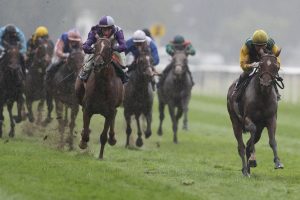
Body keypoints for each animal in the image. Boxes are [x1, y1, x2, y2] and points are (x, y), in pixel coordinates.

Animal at [227, 48, 284, 177]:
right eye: (261, 65)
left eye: (276, 66)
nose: (266, 83)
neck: (262, 96)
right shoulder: (247, 118)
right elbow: (251, 131)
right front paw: (253, 159)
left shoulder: (271, 119)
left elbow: (272, 140)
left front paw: (278, 162)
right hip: (235, 122)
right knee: (241, 146)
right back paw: (245, 169)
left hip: (260, 128)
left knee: (249, 143)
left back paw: (248, 170)